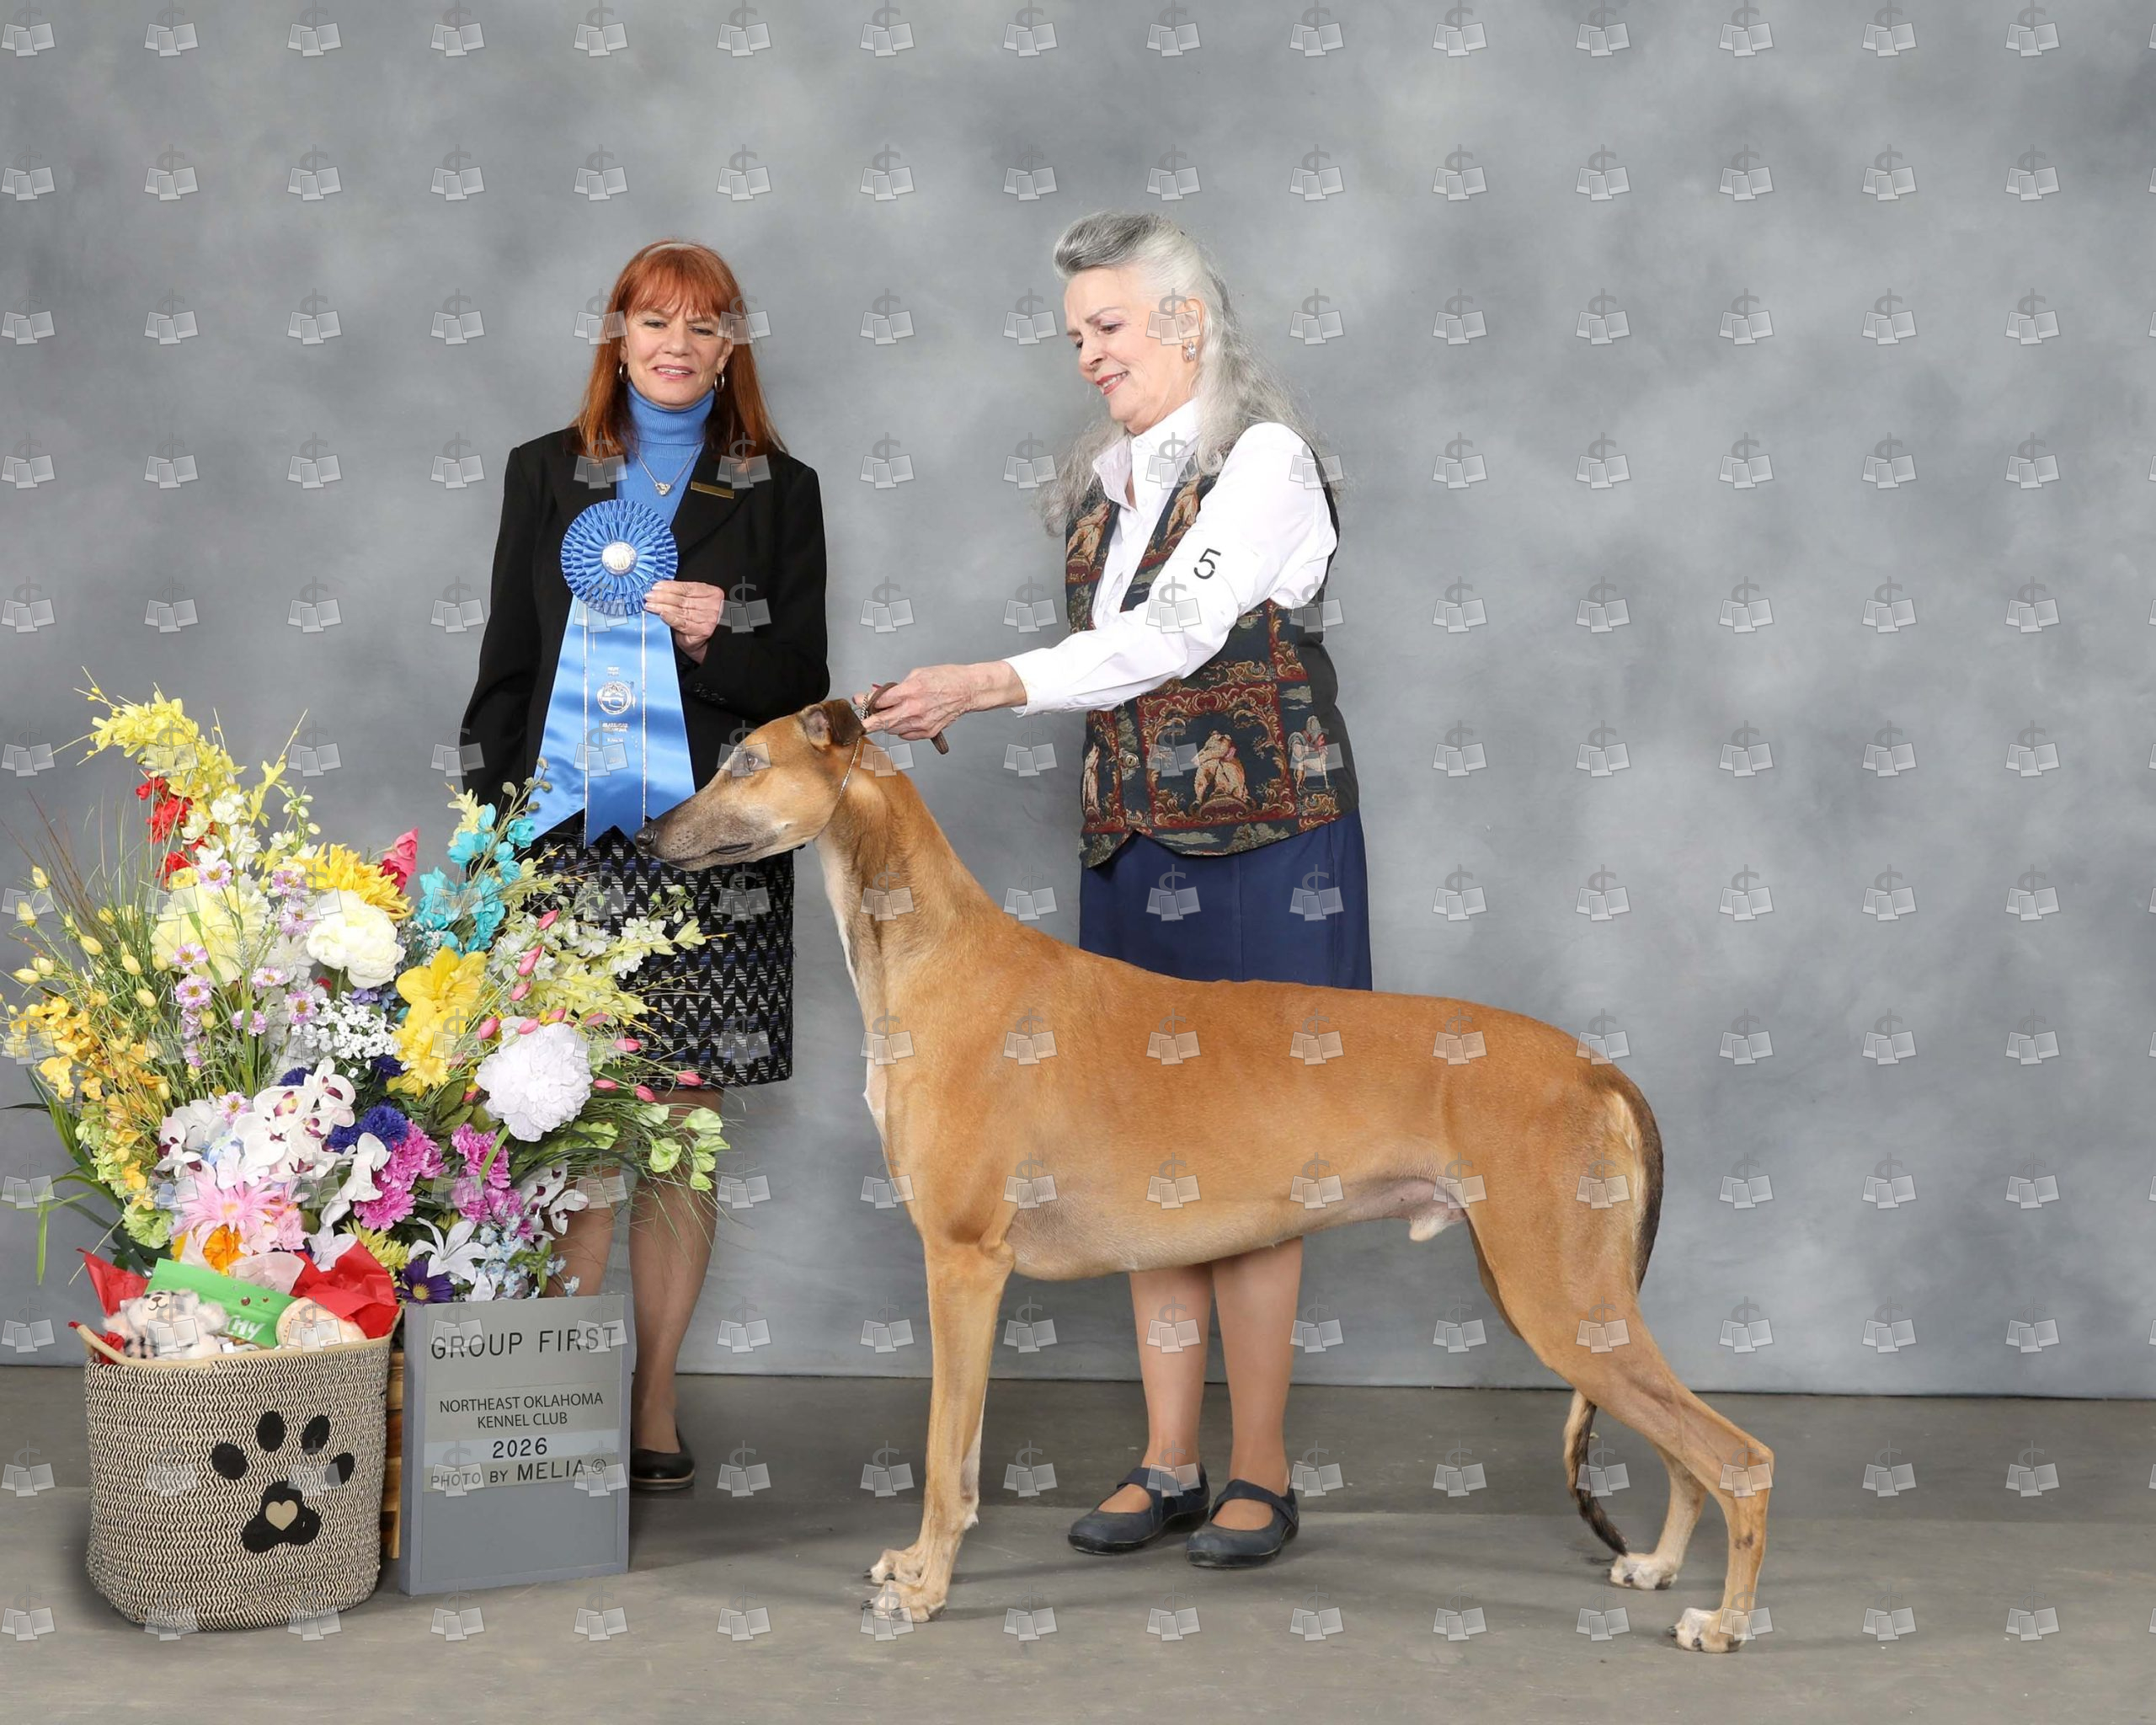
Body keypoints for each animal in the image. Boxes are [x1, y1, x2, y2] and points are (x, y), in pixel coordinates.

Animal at [635, 697, 1774, 1653]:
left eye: (746, 761)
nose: (646, 834)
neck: (932, 954)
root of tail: (1591, 1063)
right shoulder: (968, 1275)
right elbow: (957, 1454)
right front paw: (916, 1567)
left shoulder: (961, 1264)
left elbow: (943, 1457)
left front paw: (926, 1587)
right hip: (1563, 1297)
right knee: (1685, 1449)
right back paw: (1659, 1566)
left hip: (1559, 1296)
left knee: (1736, 1454)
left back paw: (1722, 1619)